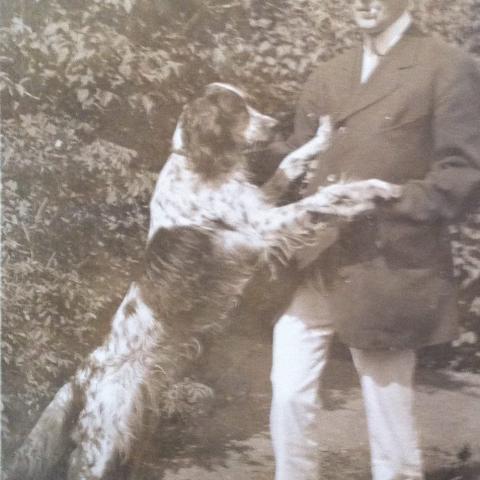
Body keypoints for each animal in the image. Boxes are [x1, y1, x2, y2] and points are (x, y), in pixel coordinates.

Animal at [8, 83, 402, 480]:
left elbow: (290, 163)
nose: (278, 124)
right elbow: (321, 200)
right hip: (105, 438)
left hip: (133, 428)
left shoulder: (260, 201)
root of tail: (83, 374)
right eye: (237, 110)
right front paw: (370, 191)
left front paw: (322, 134)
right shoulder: (261, 228)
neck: (198, 164)